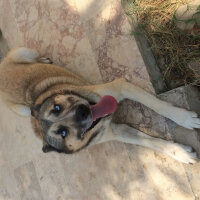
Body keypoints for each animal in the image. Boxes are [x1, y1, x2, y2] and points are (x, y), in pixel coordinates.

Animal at [0, 47, 200, 164]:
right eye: (63, 133)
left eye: (57, 107)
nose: (82, 111)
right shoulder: (118, 131)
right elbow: (154, 143)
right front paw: (180, 153)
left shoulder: (120, 87)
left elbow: (159, 105)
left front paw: (185, 118)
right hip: (23, 110)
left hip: (24, 51)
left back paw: (43, 60)